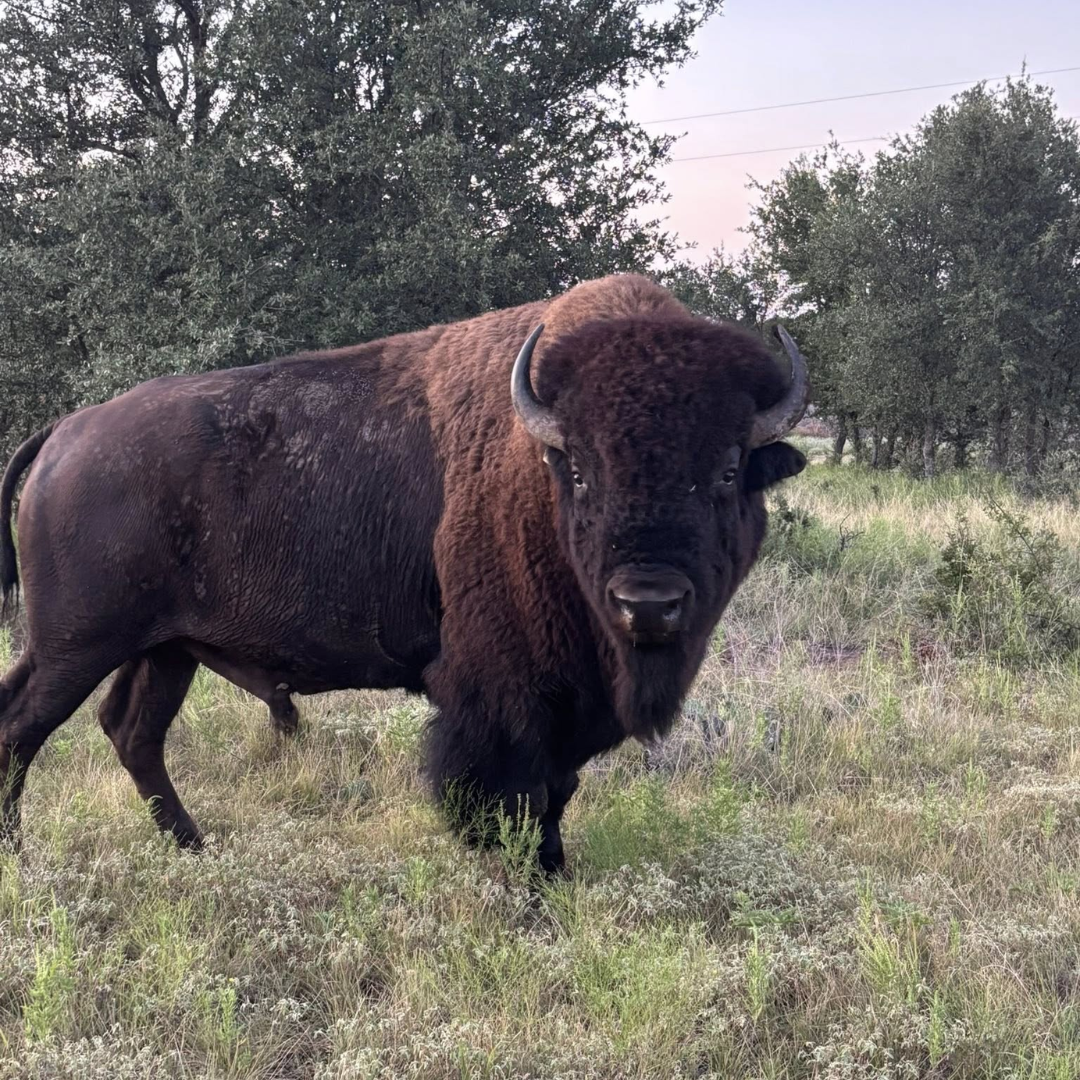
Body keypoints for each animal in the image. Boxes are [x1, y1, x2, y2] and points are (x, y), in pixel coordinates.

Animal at [0, 273, 808, 871]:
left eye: (729, 469)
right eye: (579, 470)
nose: (648, 602)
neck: (537, 465)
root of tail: (65, 432)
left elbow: (558, 791)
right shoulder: (504, 695)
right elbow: (517, 795)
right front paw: (530, 885)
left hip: (164, 650)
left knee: (131, 732)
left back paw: (196, 848)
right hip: (76, 646)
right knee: (22, 727)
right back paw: (23, 856)